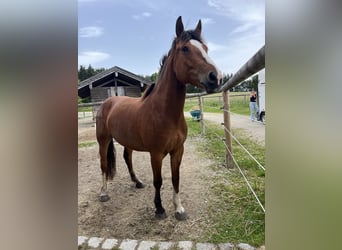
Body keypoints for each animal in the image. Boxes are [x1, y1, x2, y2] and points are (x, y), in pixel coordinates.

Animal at [95, 15, 220, 220]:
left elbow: (175, 178)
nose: (215, 77)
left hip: (127, 141)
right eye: (185, 49)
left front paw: (179, 208)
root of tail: (108, 101)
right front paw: (159, 209)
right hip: (103, 139)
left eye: (205, 48)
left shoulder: (178, 150)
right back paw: (104, 193)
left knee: (127, 157)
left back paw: (137, 182)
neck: (165, 113)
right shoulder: (156, 154)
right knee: (104, 164)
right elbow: (158, 180)